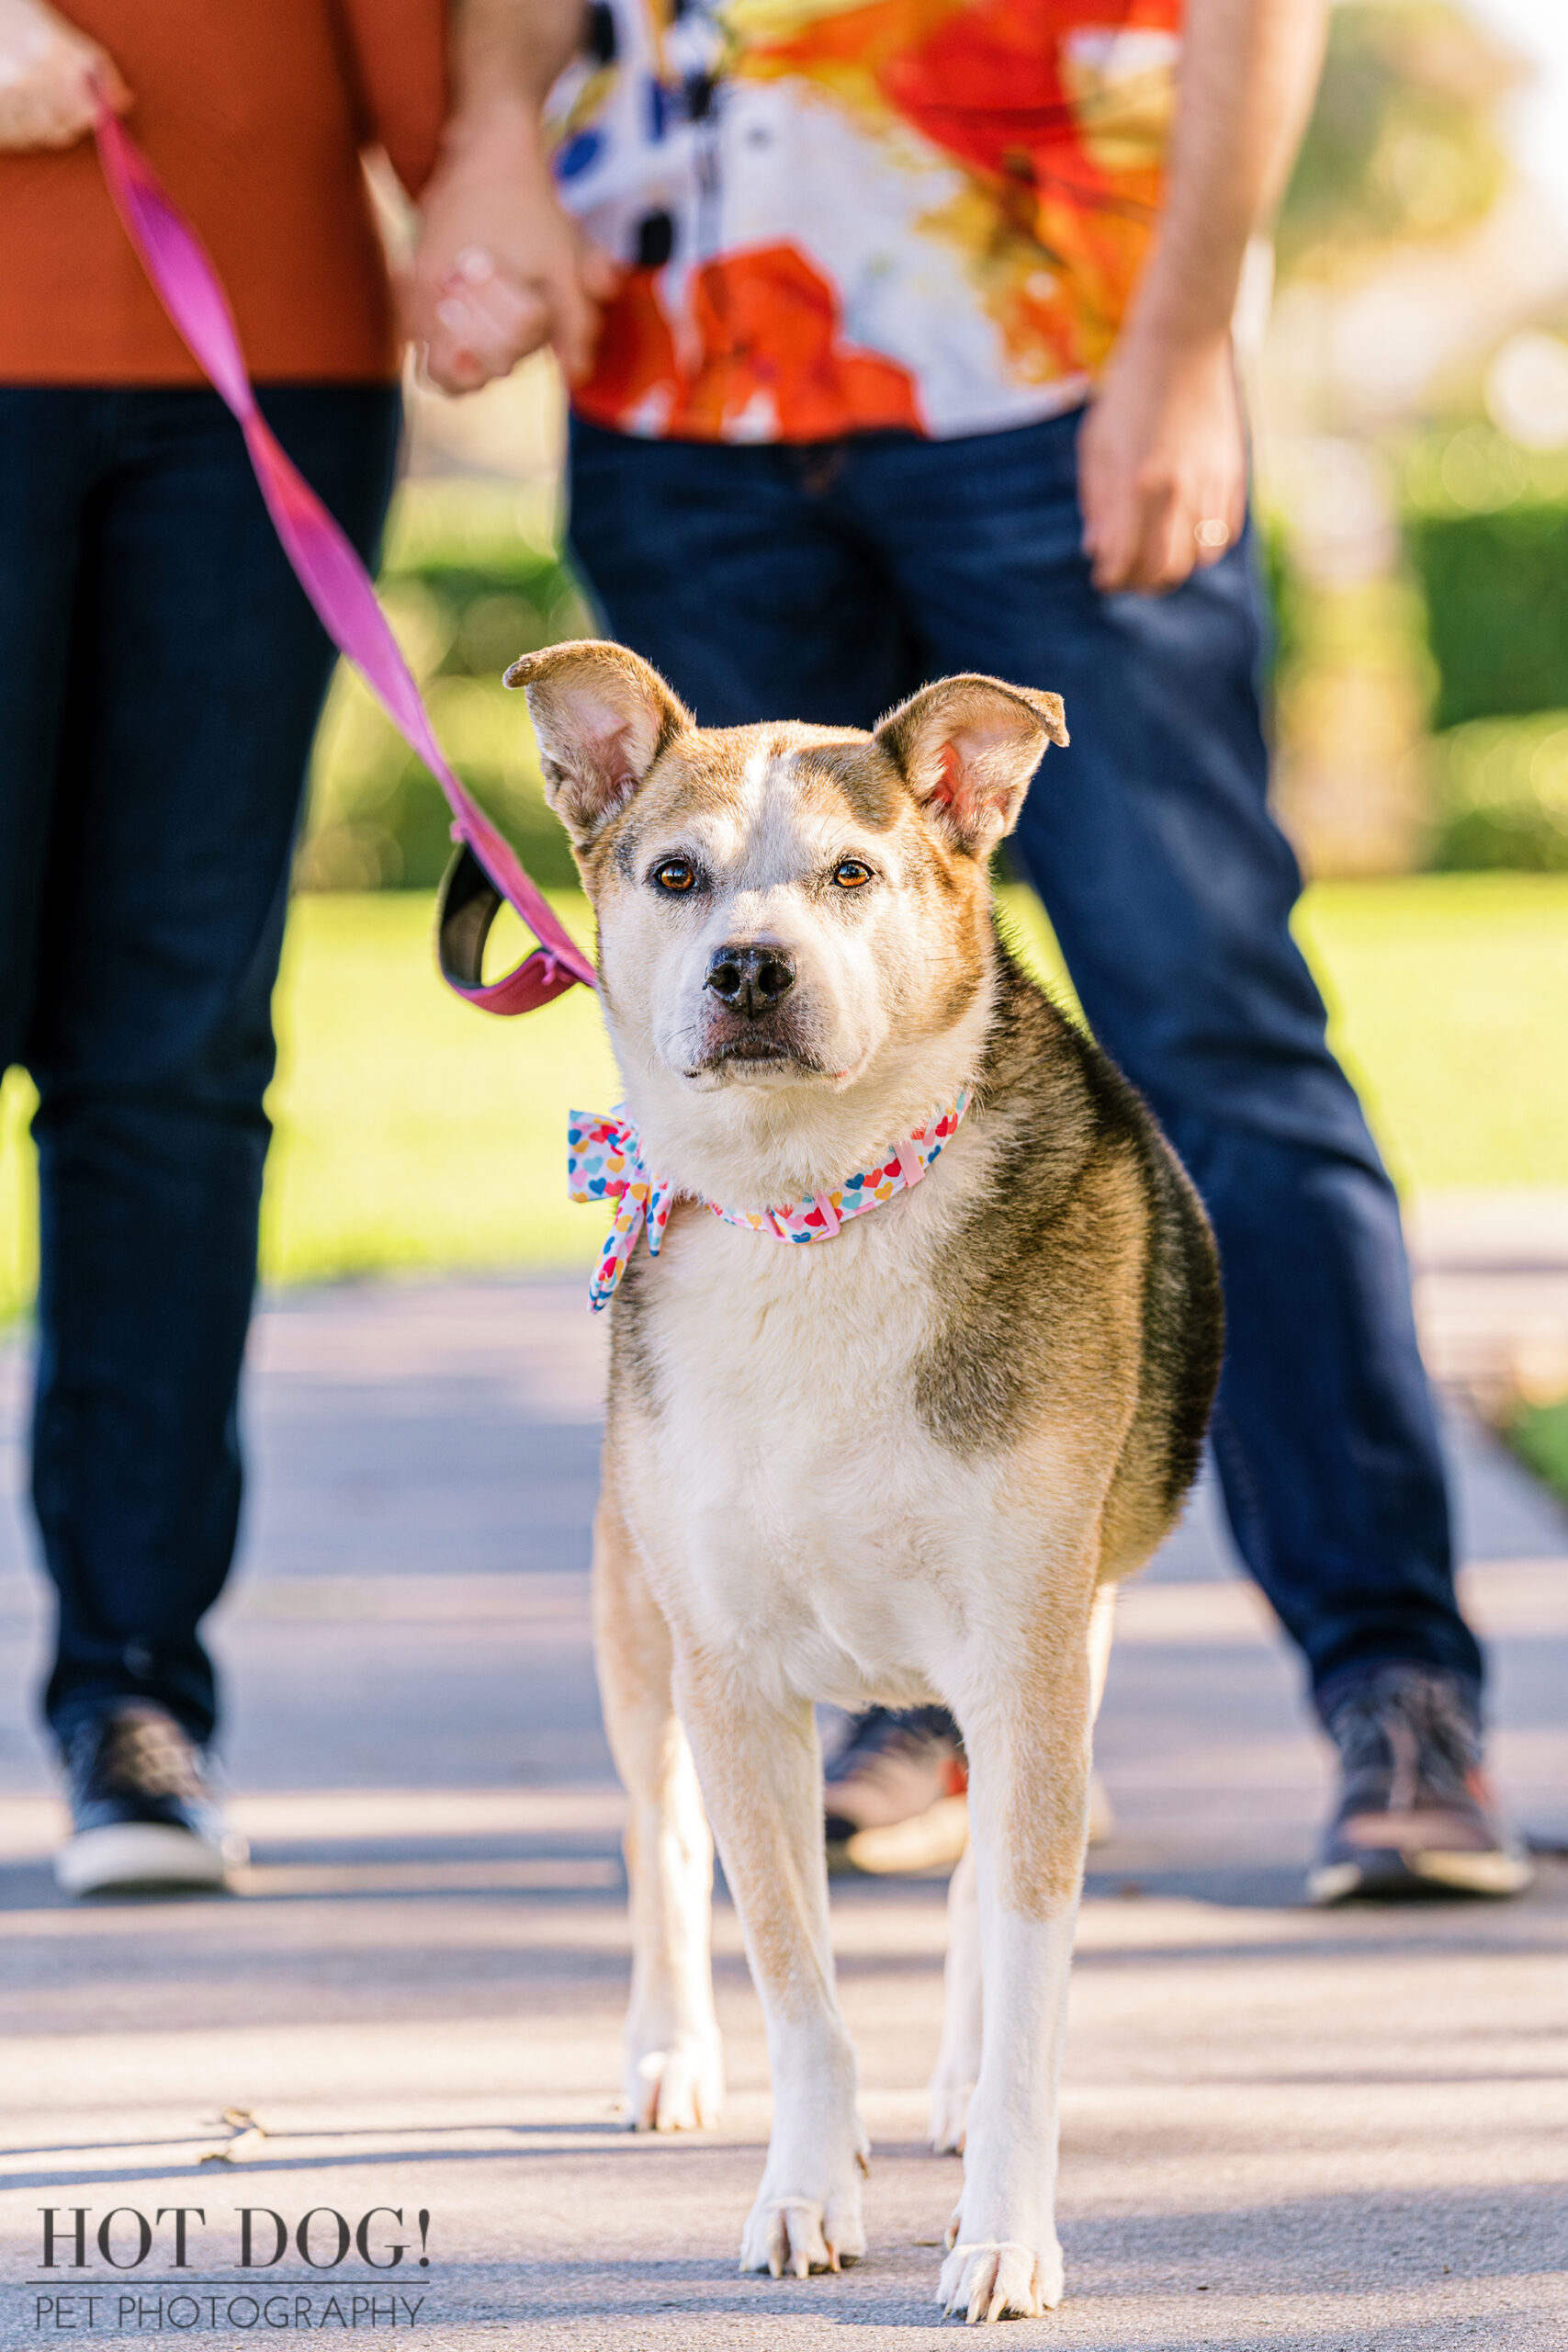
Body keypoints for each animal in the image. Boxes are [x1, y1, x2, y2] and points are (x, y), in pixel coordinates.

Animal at [505, 639, 1222, 2314]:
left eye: (852, 873)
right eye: (675, 874)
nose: (749, 971)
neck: (813, 1204)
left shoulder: (1028, 1657)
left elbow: (1023, 1972)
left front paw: (1003, 2233)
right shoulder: (733, 1679)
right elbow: (793, 1974)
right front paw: (803, 2190)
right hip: (634, 1623)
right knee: (656, 1837)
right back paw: (666, 2055)